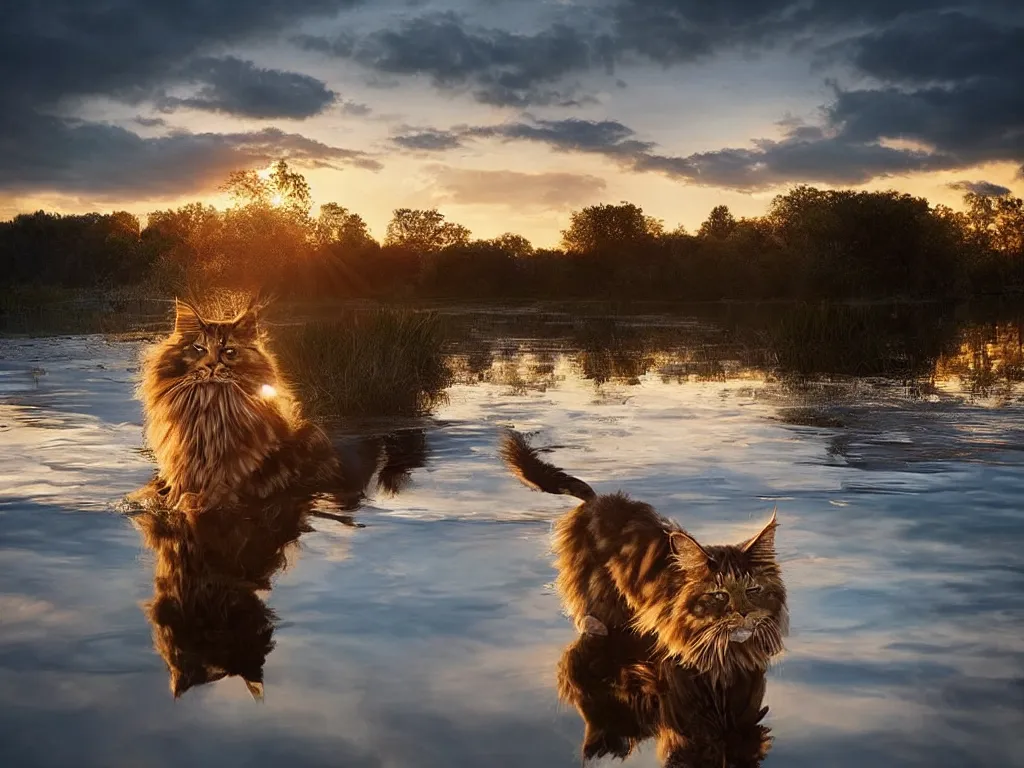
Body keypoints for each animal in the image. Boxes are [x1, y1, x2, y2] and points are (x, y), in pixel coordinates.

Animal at [138, 296, 346, 514]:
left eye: (228, 351)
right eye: (199, 348)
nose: (211, 365)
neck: (209, 415)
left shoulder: (233, 485)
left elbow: (207, 496)